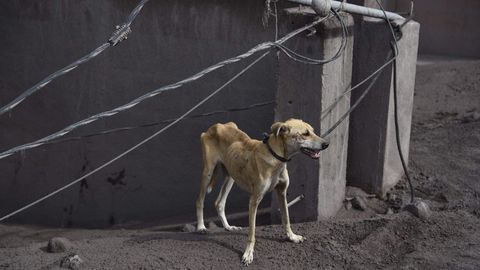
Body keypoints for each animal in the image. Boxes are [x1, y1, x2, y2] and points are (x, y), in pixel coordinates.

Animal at [196, 118, 330, 266]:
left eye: (312, 131)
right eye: (305, 134)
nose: (326, 144)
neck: (275, 157)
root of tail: (217, 126)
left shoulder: (282, 193)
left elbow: (286, 218)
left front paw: (292, 237)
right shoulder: (254, 200)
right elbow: (252, 232)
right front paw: (248, 254)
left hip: (230, 176)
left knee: (219, 203)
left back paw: (228, 227)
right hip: (208, 172)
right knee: (199, 201)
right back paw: (201, 227)